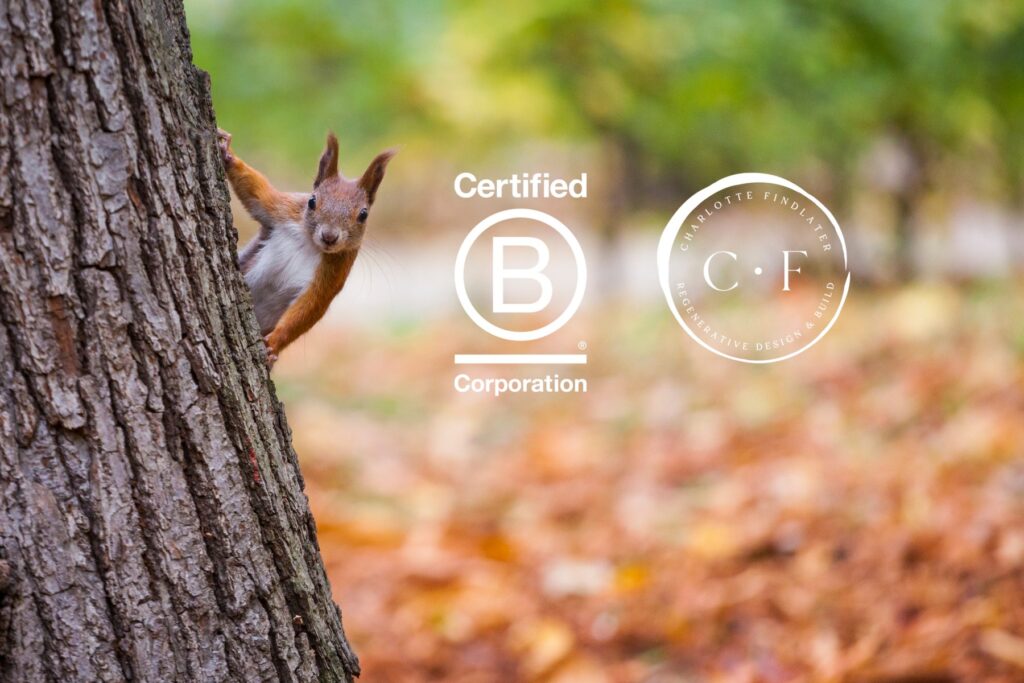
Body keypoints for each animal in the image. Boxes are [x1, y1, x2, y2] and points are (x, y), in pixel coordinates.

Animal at [217, 129, 394, 367]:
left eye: (363, 215)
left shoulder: (334, 272)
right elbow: (257, 192)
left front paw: (274, 344)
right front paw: (227, 153)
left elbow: (310, 306)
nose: (329, 237)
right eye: (312, 201)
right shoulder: (282, 209)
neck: (309, 242)